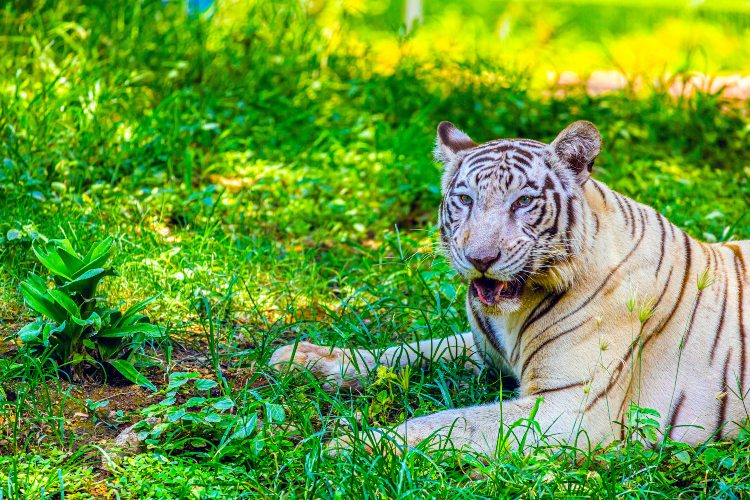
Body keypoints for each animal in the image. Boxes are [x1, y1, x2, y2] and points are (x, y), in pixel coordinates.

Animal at [270, 120, 750, 455]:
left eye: (523, 202)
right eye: (465, 199)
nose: (480, 258)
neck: (514, 314)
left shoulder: (570, 406)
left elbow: (446, 422)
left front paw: (350, 445)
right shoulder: (487, 349)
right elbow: (409, 351)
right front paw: (304, 359)